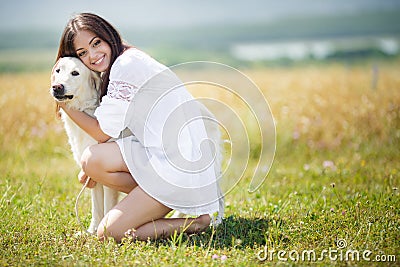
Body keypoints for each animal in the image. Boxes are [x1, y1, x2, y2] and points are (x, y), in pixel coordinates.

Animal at [50, 56, 119, 234]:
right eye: (58, 70)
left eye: (75, 73)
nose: (57, 87)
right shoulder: (91, 174)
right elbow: (97, 207)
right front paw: (92, 231)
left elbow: (108, 206)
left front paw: (104, 231)